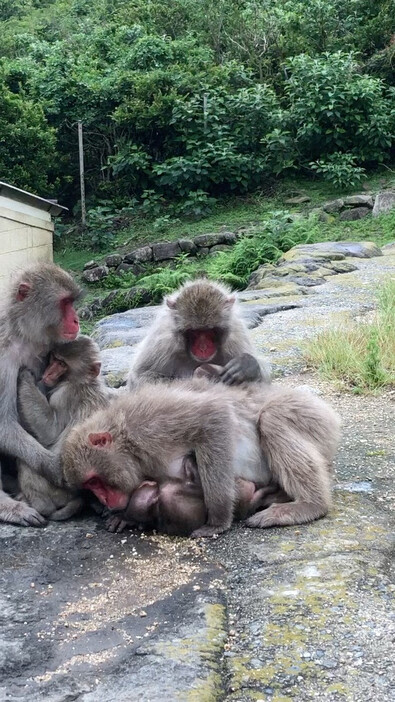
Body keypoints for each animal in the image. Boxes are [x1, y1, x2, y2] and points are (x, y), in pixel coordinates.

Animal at [18, 336, 113, 524]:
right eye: (54, 358)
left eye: (62, 364)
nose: (48, 372)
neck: (84, 382)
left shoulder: (63, 395)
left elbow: (49, 431)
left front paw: (26, 378)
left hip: (55, 489)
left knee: (27, 462)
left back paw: (41, 505)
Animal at [63, 380, 342, 540]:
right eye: (90, 487)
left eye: (95, 481)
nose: (104, 500)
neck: (129, 445)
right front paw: (126, 517)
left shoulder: (149, 424)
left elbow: (213, 417)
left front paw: (217, 522)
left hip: (312, 417)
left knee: (272, 418)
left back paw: (309, 505)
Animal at [128, 280, 270, 388]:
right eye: (194, 331)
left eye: (210, 330)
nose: (203, 348)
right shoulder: (163, 341)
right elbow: (141, 377)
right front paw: (204, 375)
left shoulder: (236, 335)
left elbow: (264, 380)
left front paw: (246, 365)